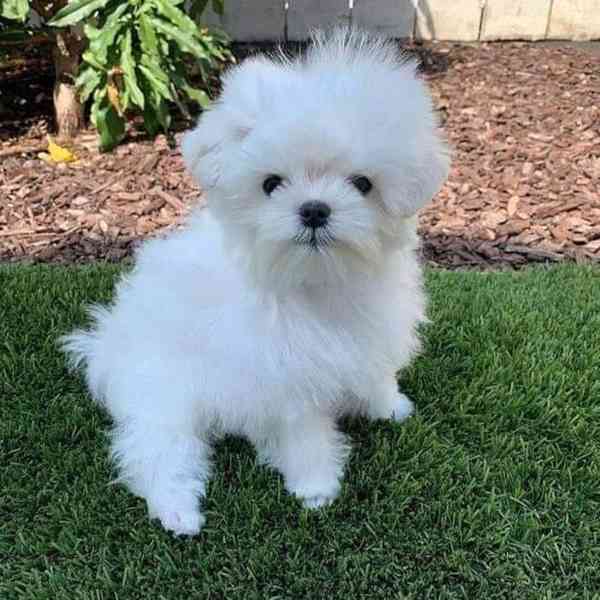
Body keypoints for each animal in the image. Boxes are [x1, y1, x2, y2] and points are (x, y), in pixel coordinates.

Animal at [62, 29, 449, 535]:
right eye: (271, 184)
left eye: (363, 183)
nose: (314, 209)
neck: (315, 281)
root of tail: (106, 343)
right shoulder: (284, 382)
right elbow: (305, 435)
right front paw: (316, 486)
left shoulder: (371, 333)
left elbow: (374, 374)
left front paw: (388, 406)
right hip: (164, 394)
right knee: (156, 451)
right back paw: (178, 511)